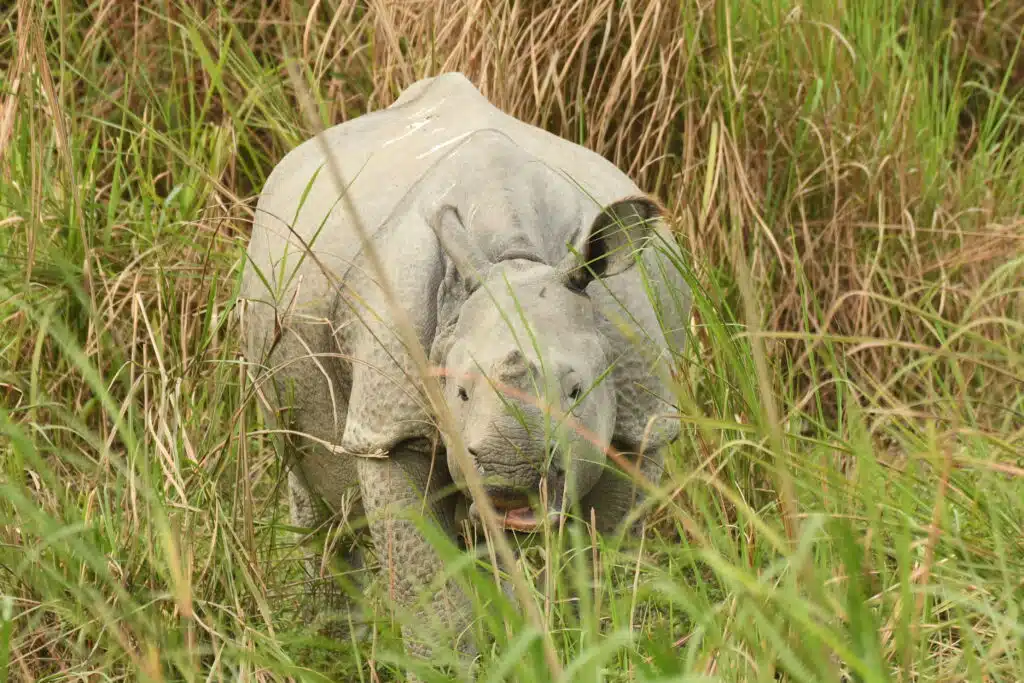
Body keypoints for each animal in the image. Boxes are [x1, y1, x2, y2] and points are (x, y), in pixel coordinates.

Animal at [239, 72, 692, 666]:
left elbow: (596, 565)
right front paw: (449, 667)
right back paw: (330, 650)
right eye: (456, 394)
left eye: (576, 391)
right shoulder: (388, 427)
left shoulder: (641, 424)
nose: (508, 471)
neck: (517, 256)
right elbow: (427, 587)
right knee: (309, 480)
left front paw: (586, 651)